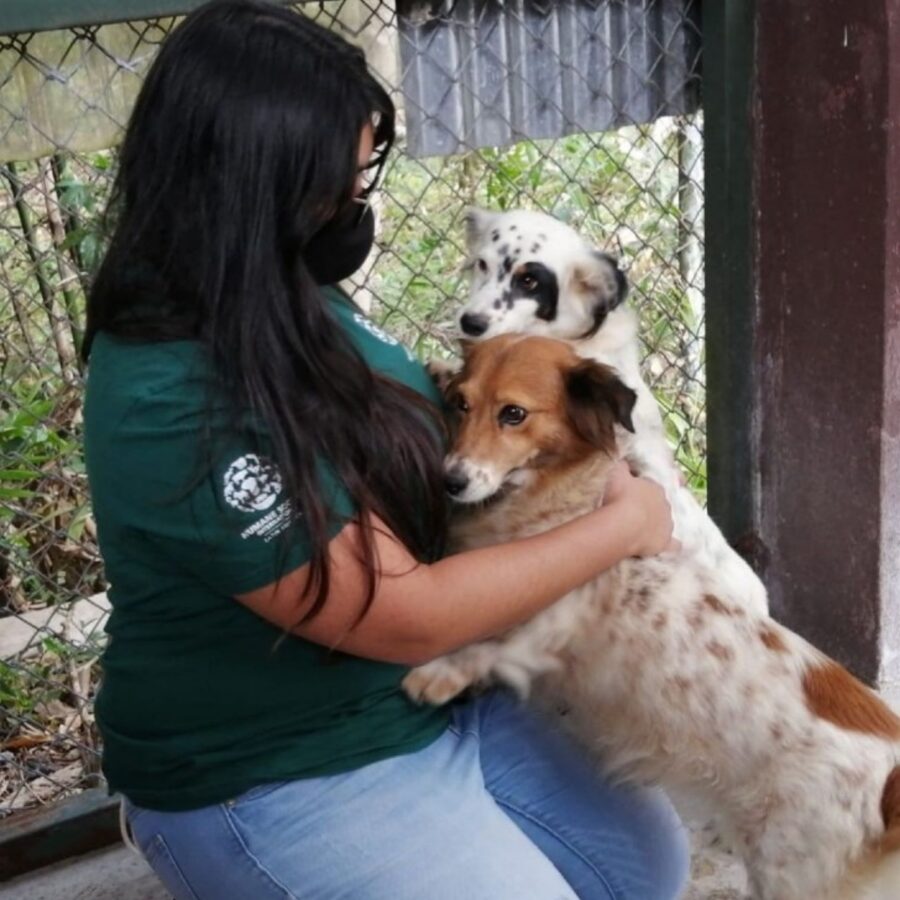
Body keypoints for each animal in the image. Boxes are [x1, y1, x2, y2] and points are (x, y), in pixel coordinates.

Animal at [404, 334, 900, 896]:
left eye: (514, 414)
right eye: (461, 405)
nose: (450, 481)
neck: (556, 502)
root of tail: (890, 779)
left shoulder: (559, 609)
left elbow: (494, 643)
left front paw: (440, 674)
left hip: (793, 869)